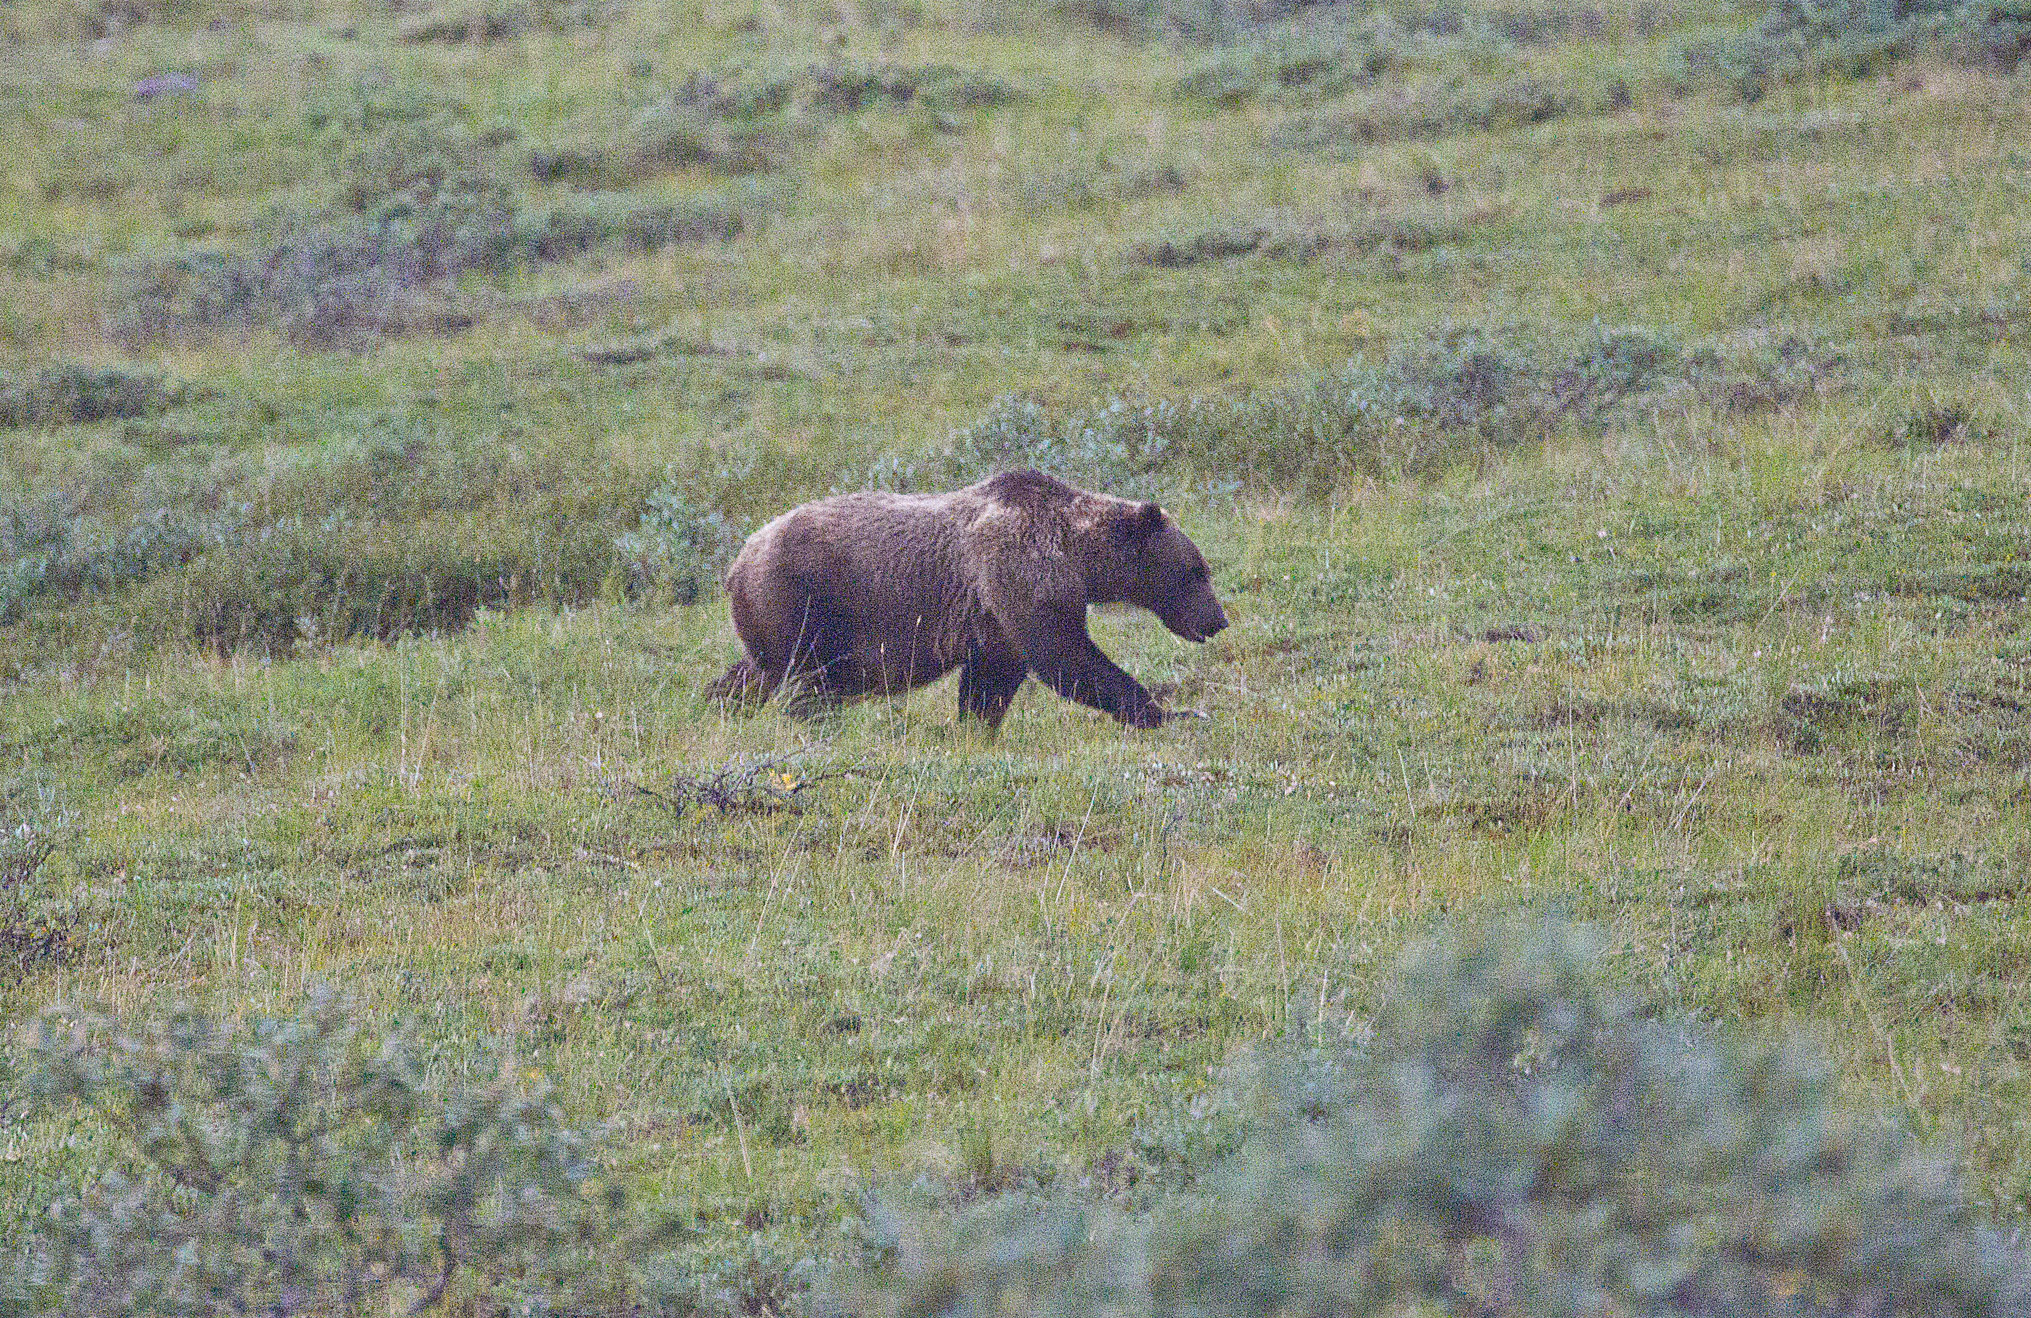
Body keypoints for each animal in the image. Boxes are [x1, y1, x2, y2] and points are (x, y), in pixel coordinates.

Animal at [706, 467, 1226, 722]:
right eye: (1196, 571)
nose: (1217, 620)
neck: (1077, 555)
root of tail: (737, 561)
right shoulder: (1021, 572)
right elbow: (1067, 657)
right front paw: (1175, 712)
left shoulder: (995, 617)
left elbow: (990, 680)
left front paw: (977, 725)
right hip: (803, 599)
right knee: (805, 677)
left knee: (755, 672)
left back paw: (721, 707)